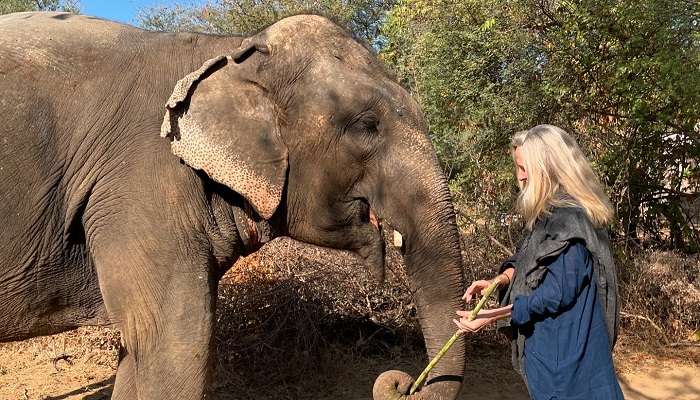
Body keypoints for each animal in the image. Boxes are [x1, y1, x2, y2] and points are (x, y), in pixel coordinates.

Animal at [1, 10, 470, 398]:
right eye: (366, 126)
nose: (401, 382)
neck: (228, 51)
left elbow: (139, 351)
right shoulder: (141, 182)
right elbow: (174, 344)